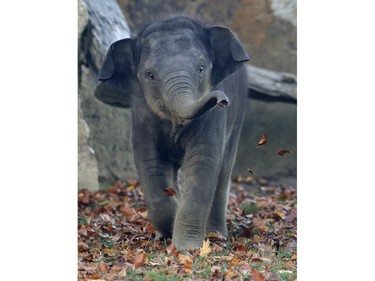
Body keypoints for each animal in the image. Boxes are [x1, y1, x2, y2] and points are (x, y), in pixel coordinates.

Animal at [95, 15, 251, 248]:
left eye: (201, 68)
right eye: (150, 75)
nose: (222, 100)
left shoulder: (213, 117)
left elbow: (202, 162)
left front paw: (186, 248)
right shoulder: (142, 115)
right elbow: (151, 164)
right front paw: (170, 227)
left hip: (238, 115)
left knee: (223, 171)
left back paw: (216, 235)